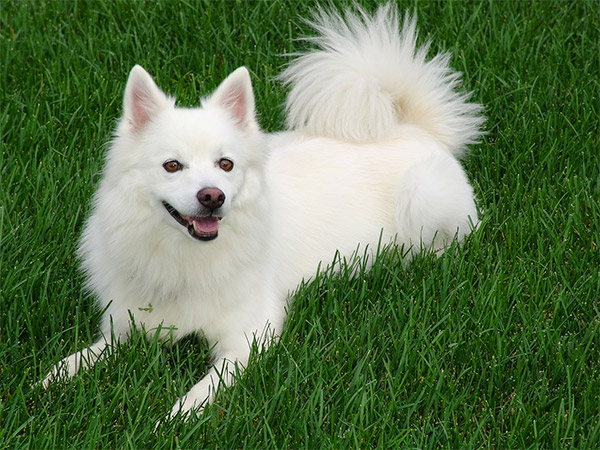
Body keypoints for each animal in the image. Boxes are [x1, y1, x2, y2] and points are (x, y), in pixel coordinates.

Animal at [41, 3, 482, 418]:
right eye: (172, 166)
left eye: (225, 164)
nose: (212, 196)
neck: (184, 258)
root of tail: (415, 129)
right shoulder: (125, 327)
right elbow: (86, 355)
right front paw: (51, 379)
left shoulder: (249, 336)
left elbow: (206, 387)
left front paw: (177, 417)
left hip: (424, 198)